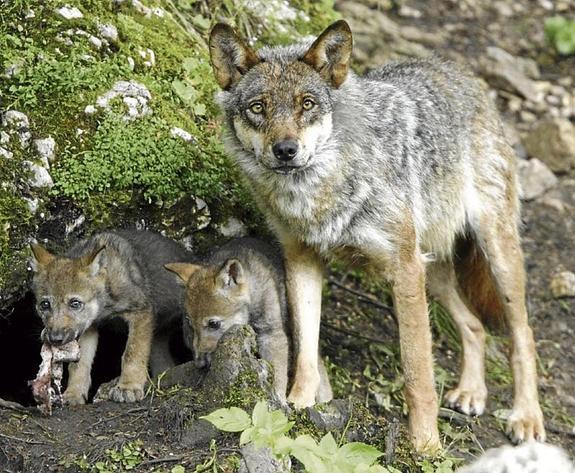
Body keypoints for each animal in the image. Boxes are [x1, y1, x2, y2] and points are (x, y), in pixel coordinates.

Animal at [209, 21, 548, 450]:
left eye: (307, 104)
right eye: (258, 107)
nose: (285, 150)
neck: (318, 194)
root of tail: (459, 71)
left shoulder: (403, 270)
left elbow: (418, 373)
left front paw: (425, 446)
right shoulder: (302, 259)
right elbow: (306, 350)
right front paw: (297, 406)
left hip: (493, 257)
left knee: (523, 335)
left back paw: (526, 417)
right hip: (432, 272)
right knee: (475, 327)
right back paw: (472, 392)